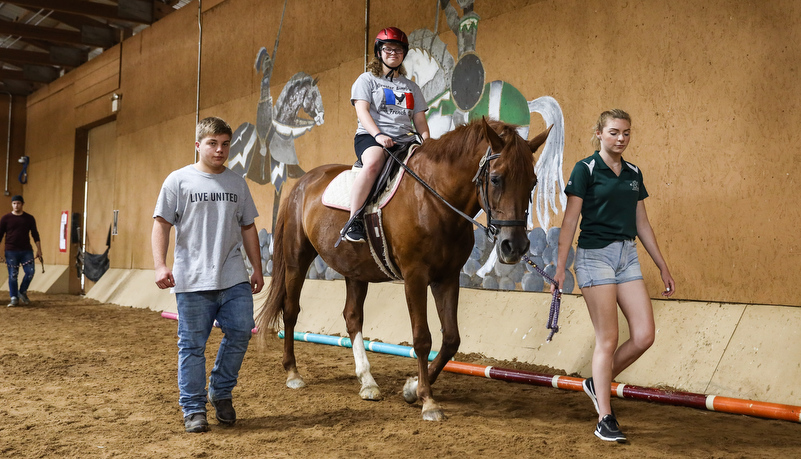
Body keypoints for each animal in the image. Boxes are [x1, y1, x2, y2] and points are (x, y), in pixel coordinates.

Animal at [258, 117, 552, 420]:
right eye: (495, 179)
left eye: (532, 182)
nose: (514, 246)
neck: (434, 199)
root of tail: (302, 183)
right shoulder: (415, 276)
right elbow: (422, 338)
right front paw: (428, 401)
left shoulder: (447, 277)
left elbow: (451, 339)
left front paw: (411, 389)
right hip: (297, 260)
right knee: (291, 310)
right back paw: (293, 373)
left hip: (355, 270)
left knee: (352, 318)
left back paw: (368, 382)